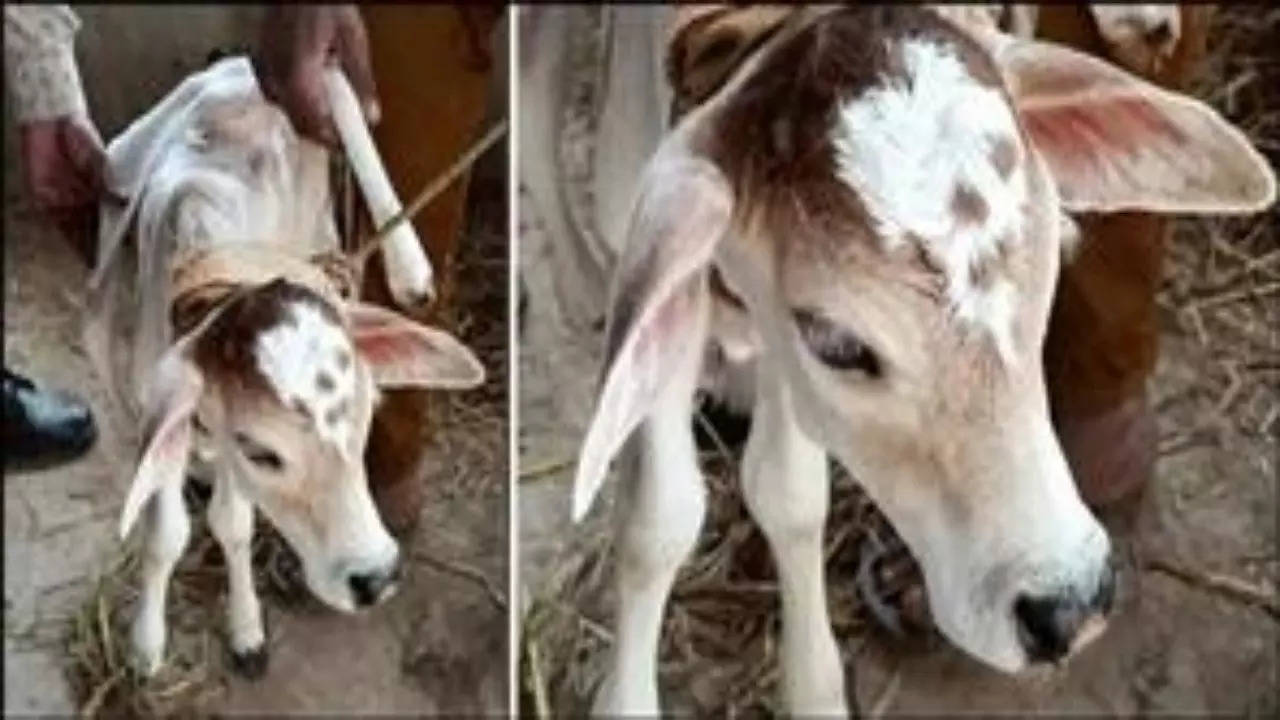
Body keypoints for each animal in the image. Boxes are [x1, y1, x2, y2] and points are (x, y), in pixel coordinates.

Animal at [90, 57, 486, 676]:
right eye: (262, 452)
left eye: (366, 416)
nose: (376, 578)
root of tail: (239, 75)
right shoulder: (168, 409)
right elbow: (166, 534)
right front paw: (147, 646)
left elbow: (232, 523)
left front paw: (246, 630)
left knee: (336, 79)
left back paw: (411, 270)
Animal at [524, 4, 1274, 712]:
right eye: (837, 343)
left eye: (1054, 260)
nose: (1070, 606)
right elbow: (659, 520)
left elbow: (791, 497)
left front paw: (816, 693)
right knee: (537, 77)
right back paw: (578, 280)